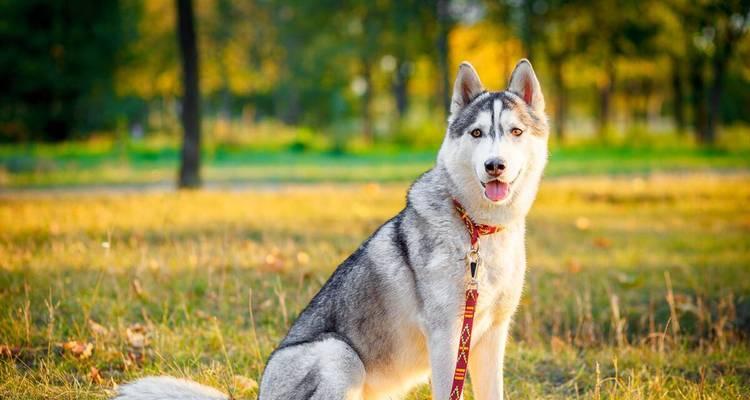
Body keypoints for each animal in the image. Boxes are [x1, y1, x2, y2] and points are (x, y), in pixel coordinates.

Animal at [117, 59, 552, 400]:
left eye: (515, 132)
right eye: (477, 133)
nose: (494, 166)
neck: (478, 228)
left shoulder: (492, 336)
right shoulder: (447, 336)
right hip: (337, 355)